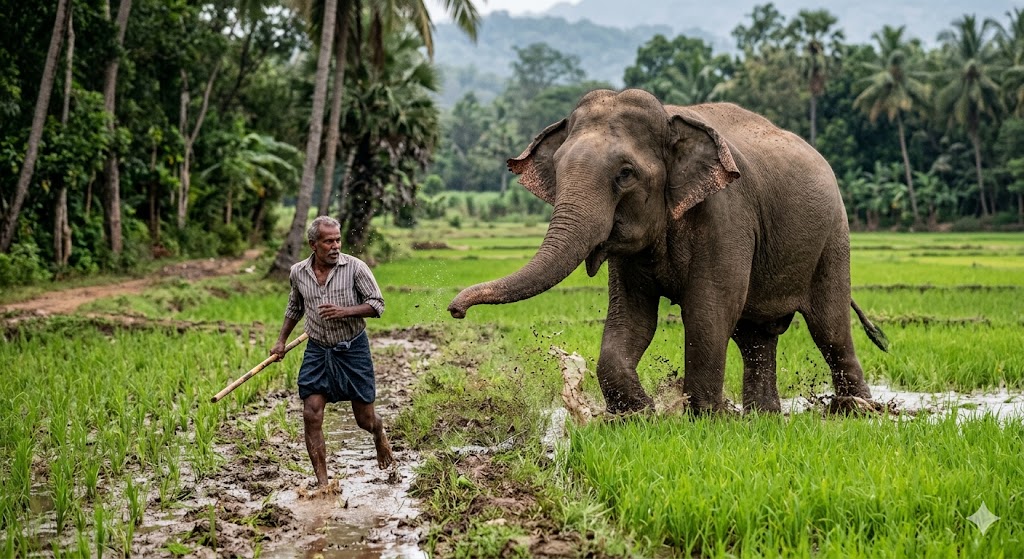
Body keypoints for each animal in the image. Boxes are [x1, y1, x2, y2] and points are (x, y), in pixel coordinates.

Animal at [448, 88, 888, 415]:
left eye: (625, 174)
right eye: (556, 169)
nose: (455, 309)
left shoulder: (727, 214)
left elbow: (708, 309)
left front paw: (705, 419)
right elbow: (632, 316)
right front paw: (639, 415)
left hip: (834, 238)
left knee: (830, 328)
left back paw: (857, 411)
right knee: (755, 335)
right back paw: (764, 417)